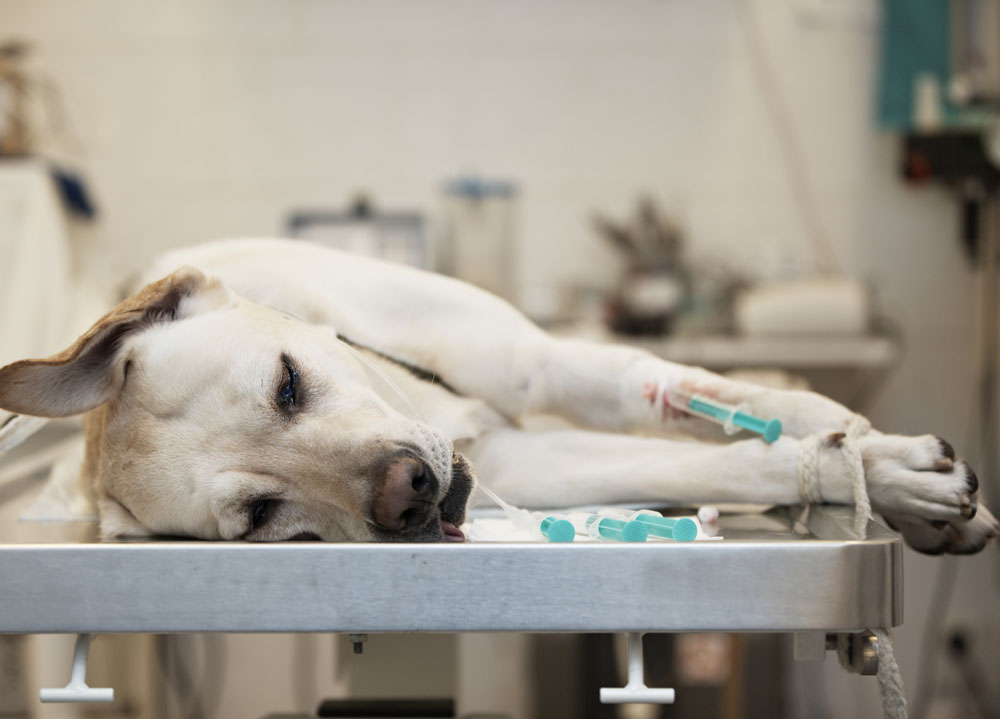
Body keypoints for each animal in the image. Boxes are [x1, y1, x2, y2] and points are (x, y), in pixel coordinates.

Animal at [0, 239, 992, 556]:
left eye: (287, 382)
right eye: (259, 515)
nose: (409, 494)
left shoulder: (545, 367)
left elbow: (724, 406)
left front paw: (889, 464)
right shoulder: (527, 458)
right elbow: (733, 463)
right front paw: (884, 477)